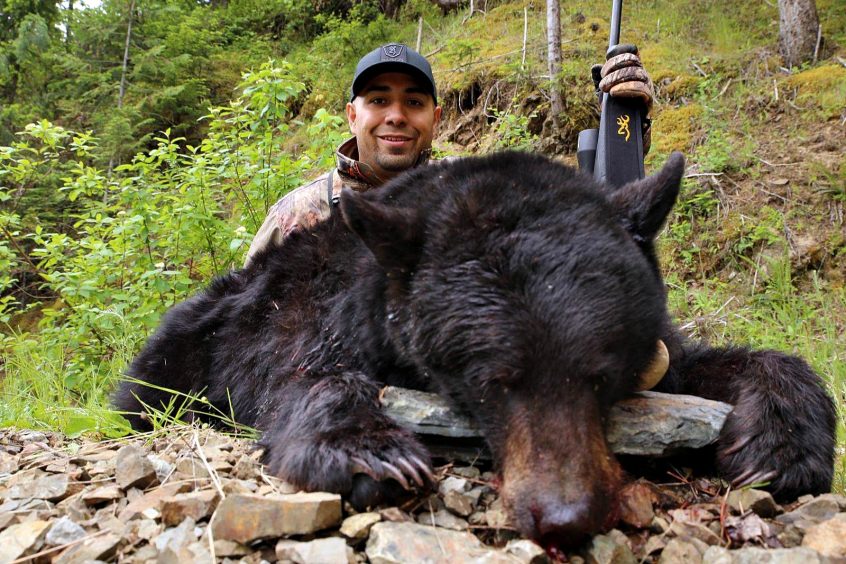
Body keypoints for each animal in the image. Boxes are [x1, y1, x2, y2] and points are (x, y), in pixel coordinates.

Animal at [114, 151, 835, 550]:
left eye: (599, 377)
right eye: (494, 380)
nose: (565, 517)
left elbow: (705, 365)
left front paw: (781, 444)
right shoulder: (311, 313)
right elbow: (297, 372)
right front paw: (372, 450)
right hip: (179, 344)